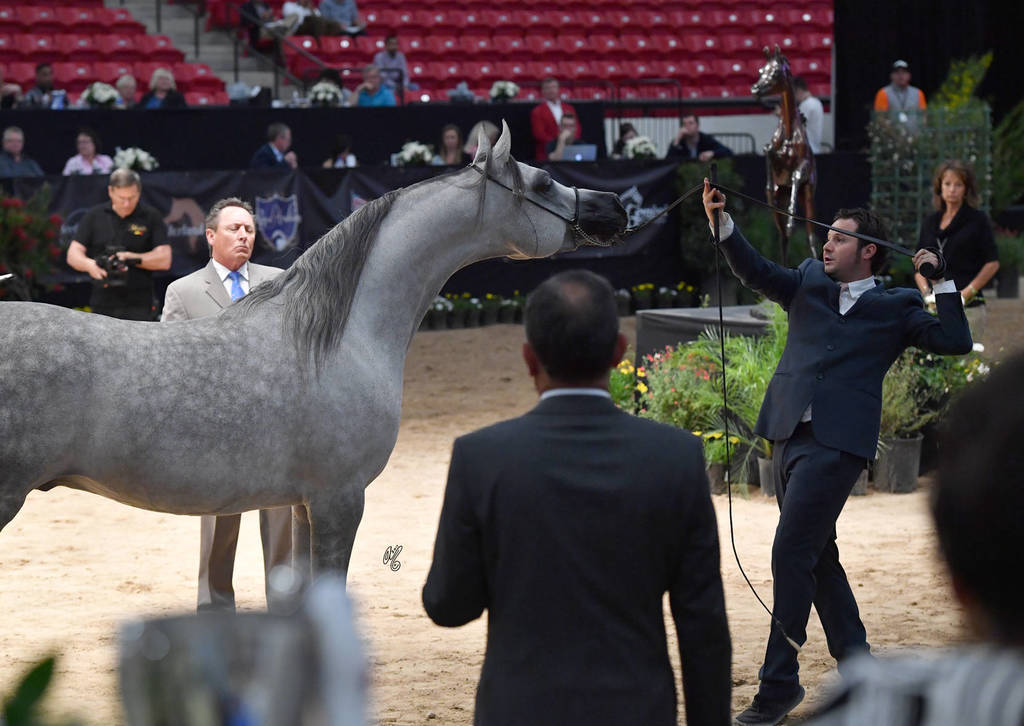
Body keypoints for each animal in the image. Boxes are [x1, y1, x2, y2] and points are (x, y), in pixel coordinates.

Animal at [752, 45, 818, 262]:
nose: (755, 89)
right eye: (760, 71)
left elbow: (796, 175)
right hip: (781, 203)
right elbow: (769, 155)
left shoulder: (803, 167)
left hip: (808, 195)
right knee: (783, 238)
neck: (789, 134)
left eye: (775, 72)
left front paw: (791, 222)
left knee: (811, 235)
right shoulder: (773, 161)